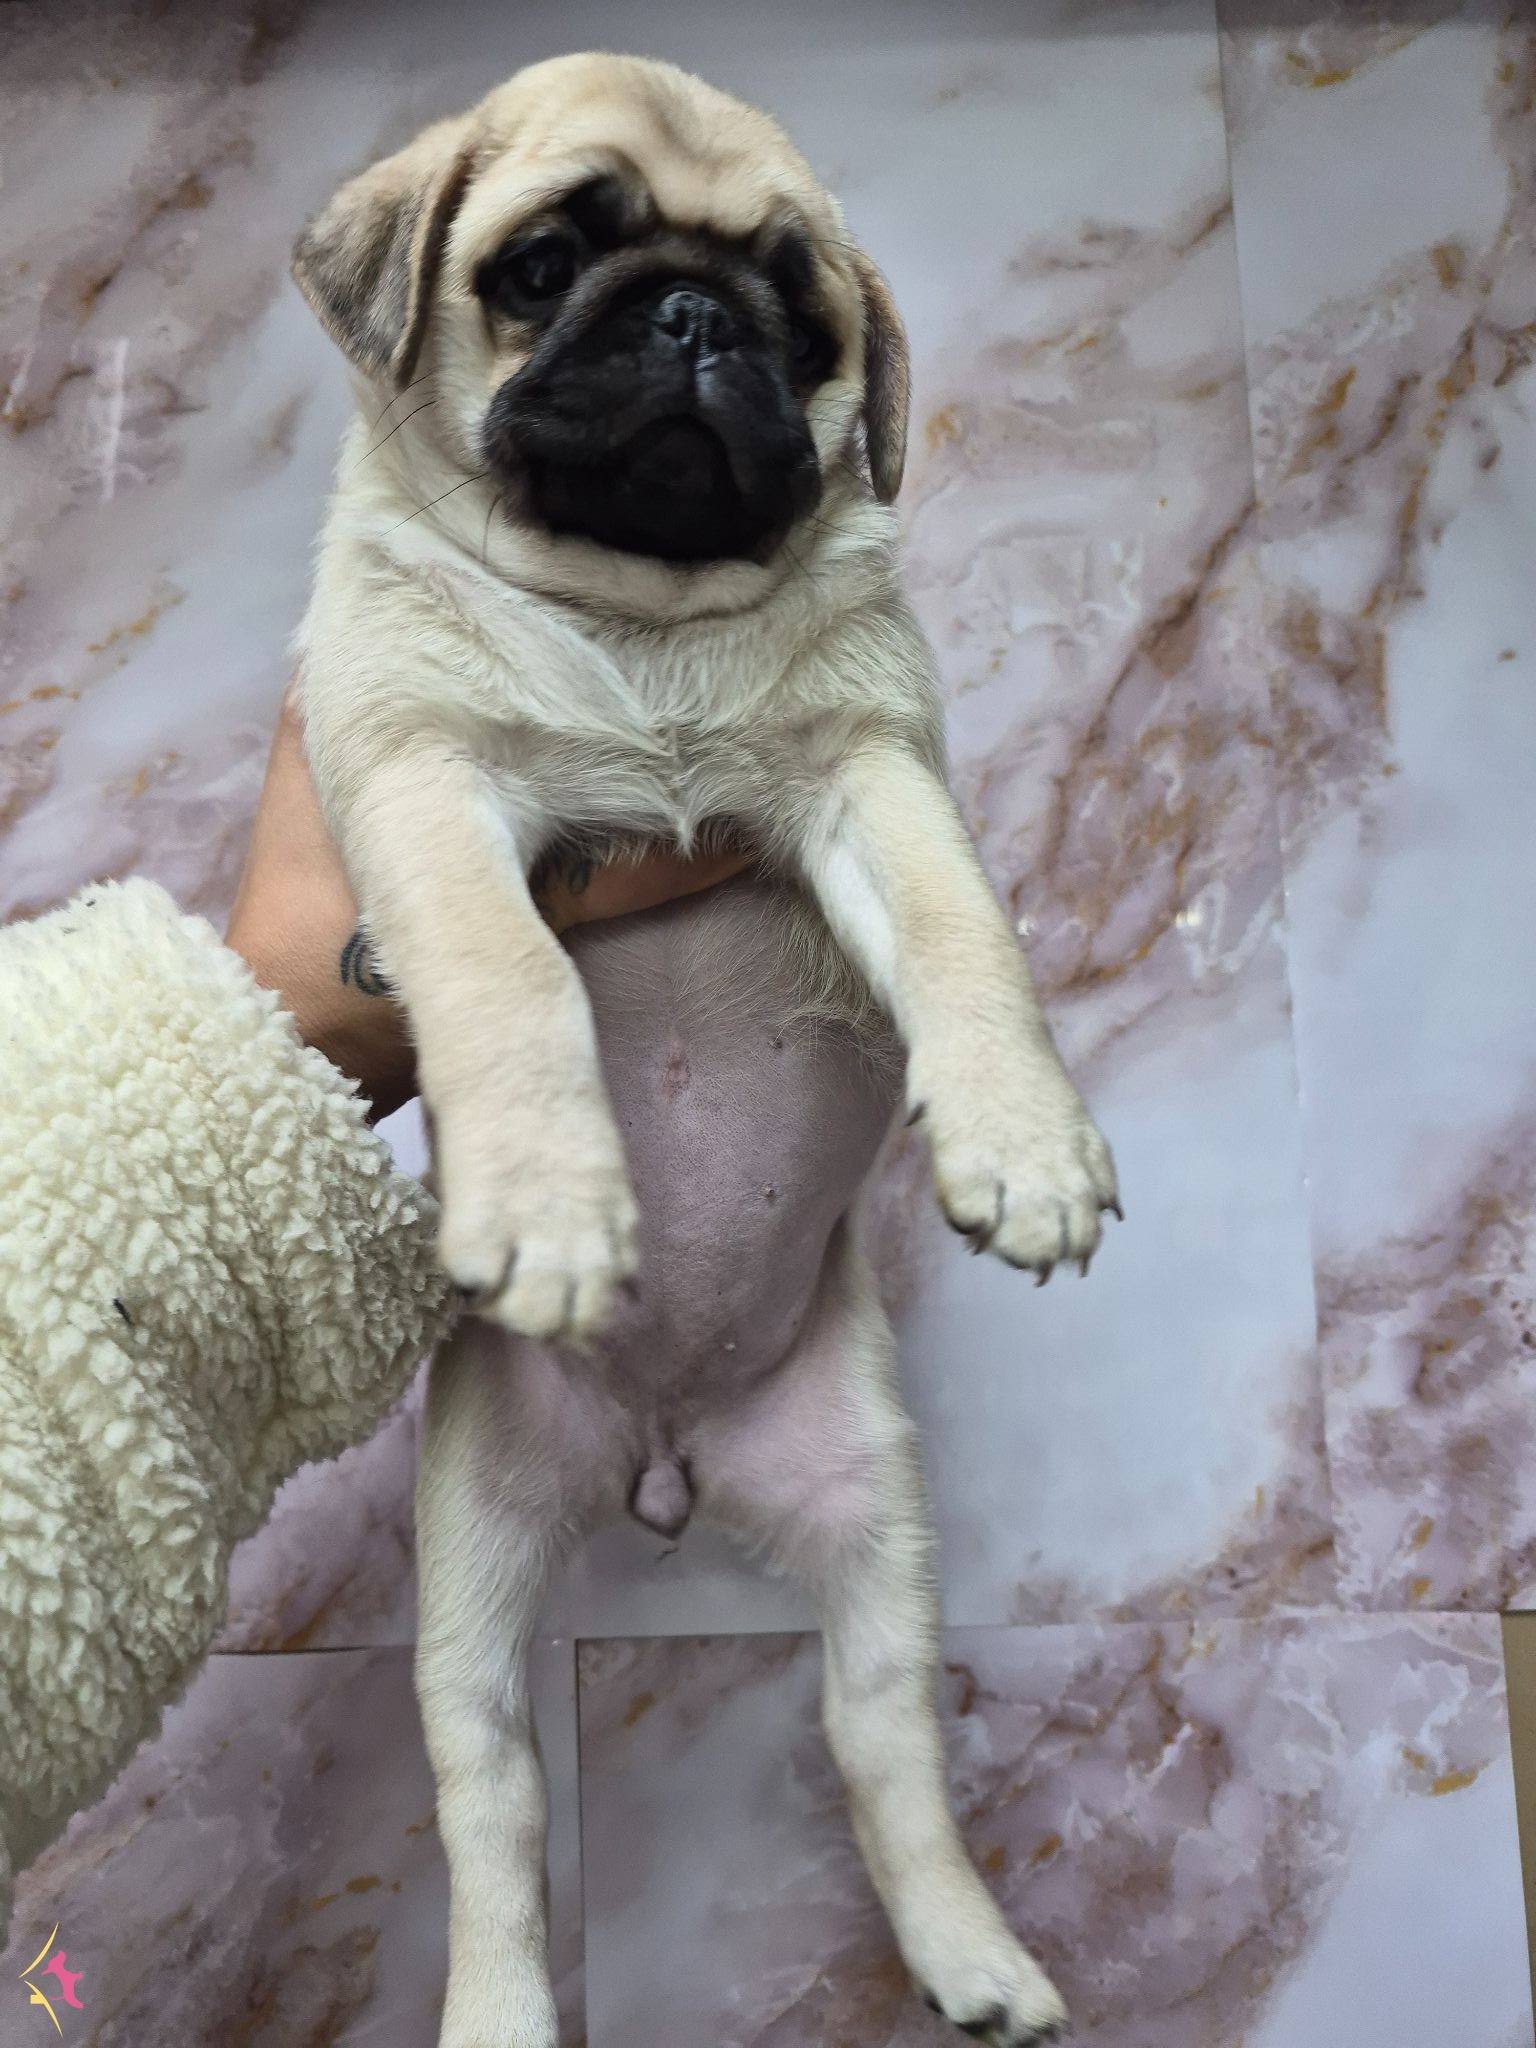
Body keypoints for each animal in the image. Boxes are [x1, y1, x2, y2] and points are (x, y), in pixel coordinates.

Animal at [292, 52, 1117, 2048]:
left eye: (802, 315)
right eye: (541, 265)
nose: (690, 314)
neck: (631, 621)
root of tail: (664, 1453)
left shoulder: (873, 772)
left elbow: (966, 937)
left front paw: (1023, 1139)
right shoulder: (422, 780)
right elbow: (505, 970)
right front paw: (550, 1201)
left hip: (877, 1531)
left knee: (882, 1743)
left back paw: (972, 1956)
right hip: (473, 1582)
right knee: (497, 1806)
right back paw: (503, 2007)